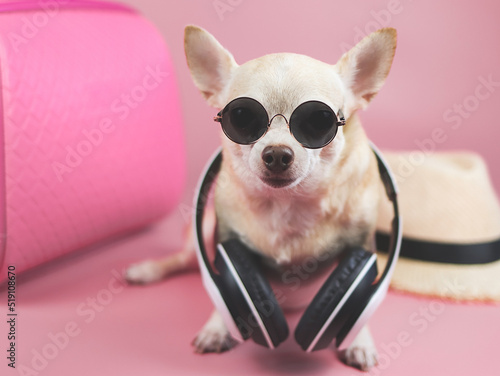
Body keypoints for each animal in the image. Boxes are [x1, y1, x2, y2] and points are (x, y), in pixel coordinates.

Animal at [126, 25, 398, 372]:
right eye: (242, 118)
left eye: (318, 122)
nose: (277, 154)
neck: (288, 204)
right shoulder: (225, 239)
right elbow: (222, 284)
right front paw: (218, 326)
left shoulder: (362, 245)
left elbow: (364, 296)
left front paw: (359, 340)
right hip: (202, 231)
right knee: (184, 259)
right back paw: (147, 270)